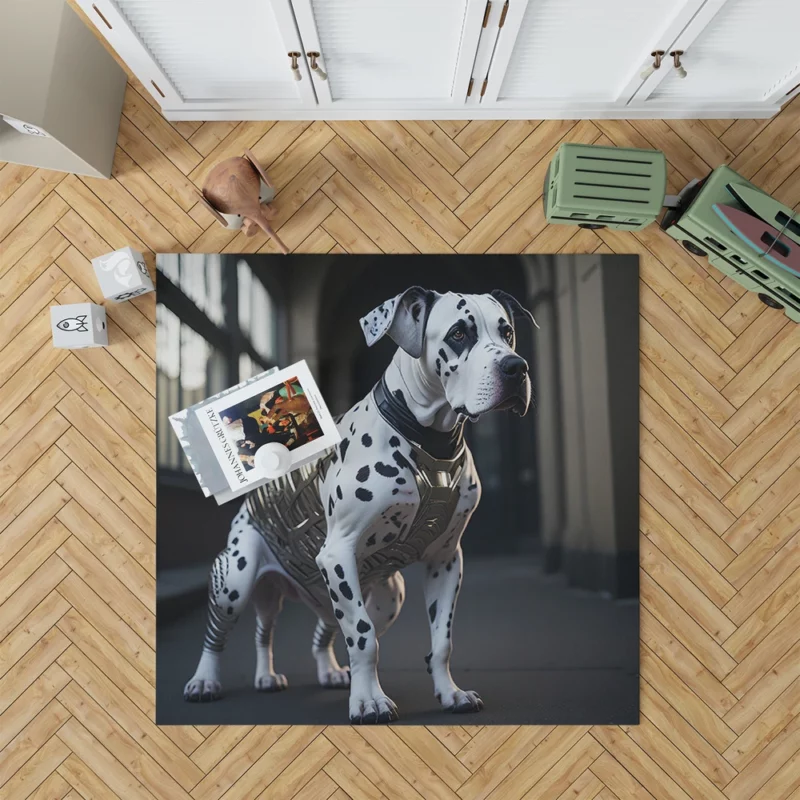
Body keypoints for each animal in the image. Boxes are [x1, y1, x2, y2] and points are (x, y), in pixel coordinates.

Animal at [185, 286, 536, 724]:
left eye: (507, 332)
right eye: (458, 334)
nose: (516, 367)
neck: (427, 440)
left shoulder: (445, 560)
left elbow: (441, 641)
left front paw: (450, 693)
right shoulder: (337, 554)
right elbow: (364, 638)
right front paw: (369, 701)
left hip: (382, 596)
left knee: (300, 632)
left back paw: (314, 672)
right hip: (236, 578)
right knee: (222, 635)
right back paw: (206, 680)